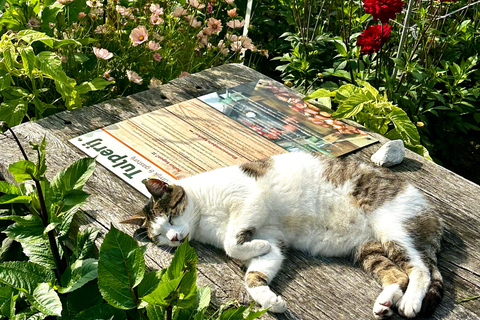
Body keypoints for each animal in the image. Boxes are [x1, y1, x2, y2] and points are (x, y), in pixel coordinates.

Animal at [121, 151, 442, 318]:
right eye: (160, 237)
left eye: (171, 217)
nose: (174, 239)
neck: (204, 219)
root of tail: (432, 210)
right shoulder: (273, 242)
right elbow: (254, 274)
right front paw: (270, 300)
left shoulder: (250, 199)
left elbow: (231, 243)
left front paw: (251, 245)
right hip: (368, 249)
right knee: (397, 275)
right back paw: (385, 303)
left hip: (393, 229)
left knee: (420, 269)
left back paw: (410, 302)